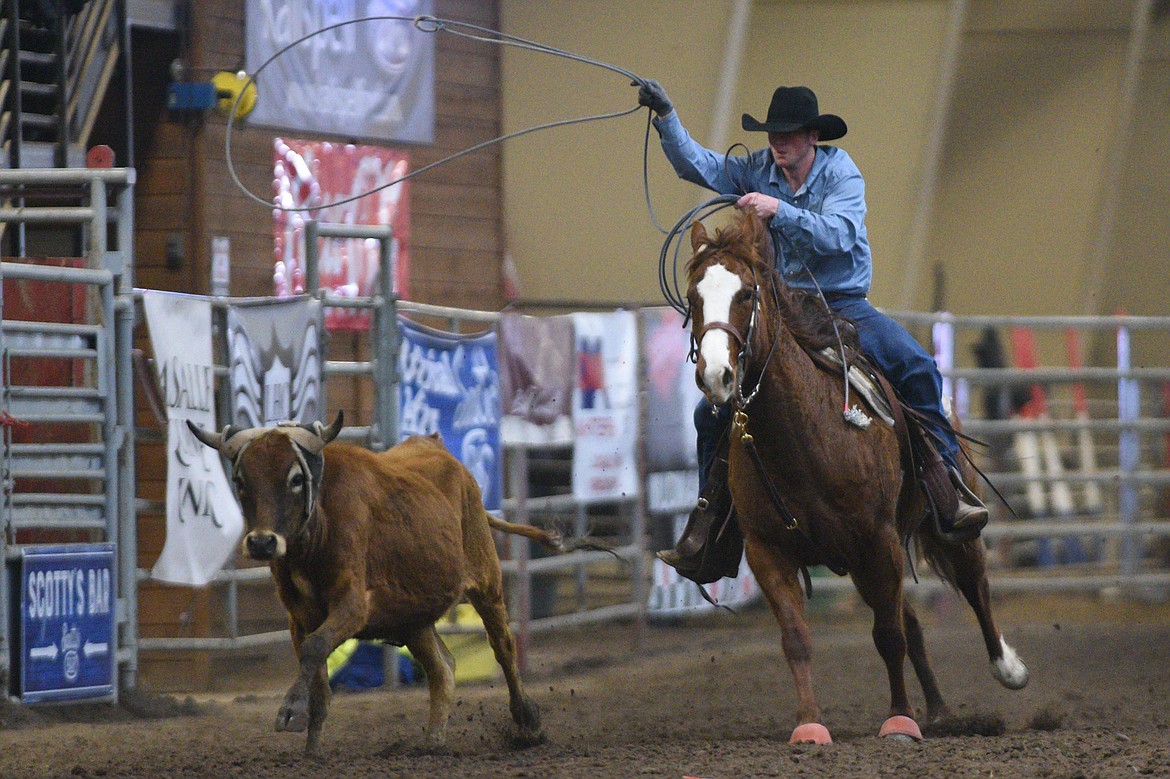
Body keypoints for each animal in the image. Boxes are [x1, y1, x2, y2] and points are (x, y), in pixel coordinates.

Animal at [687, 209, 1029, 743]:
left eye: (746, 293)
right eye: (693, 297)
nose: (716, 376)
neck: (805, 431)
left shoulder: (878, 538)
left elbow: (888, 637)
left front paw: (899, 720)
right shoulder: (768, 549)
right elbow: (798, 638)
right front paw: (809, 724)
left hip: (942, 528)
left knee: (974, 583)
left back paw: (1006, 668)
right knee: (911, 621)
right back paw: (939, 712)